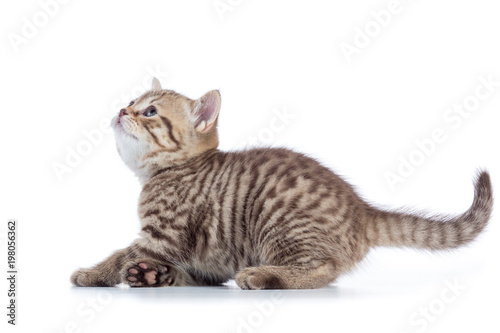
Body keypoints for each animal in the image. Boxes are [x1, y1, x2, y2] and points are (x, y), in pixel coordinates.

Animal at [69, 77, 492, 288]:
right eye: (133, 101)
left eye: (151, 112)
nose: (121, 110)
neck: (167, 171)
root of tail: (362, 210)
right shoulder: (202, 260)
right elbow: (192, 274)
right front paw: (153, 275)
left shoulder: (164, 235)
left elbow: (120, 254)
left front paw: (91, 273)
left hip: (281, 226)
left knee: (324, 271)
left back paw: (264, 275)